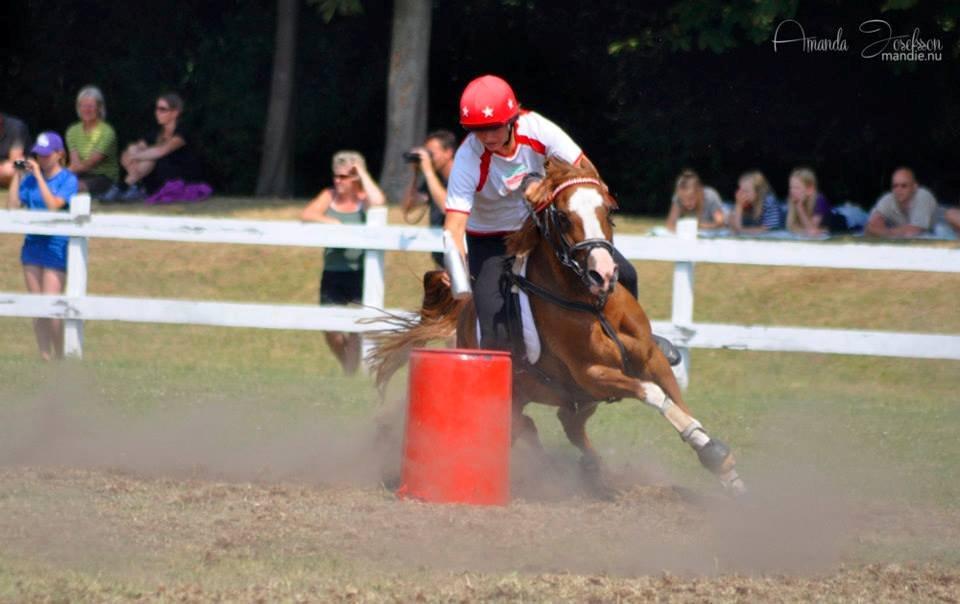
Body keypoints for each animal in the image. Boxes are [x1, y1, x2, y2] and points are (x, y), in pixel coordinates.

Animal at [372, 159, 748, 496]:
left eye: (608, 212)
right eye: (564, 217)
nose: (603, 273)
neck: (592, 304)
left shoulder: (650, 359)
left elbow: (674, 398)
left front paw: (721, 464)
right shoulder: (593, 373)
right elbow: (654, 394)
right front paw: (713, 451)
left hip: (577, 397)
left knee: (568, 426)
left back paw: (591, 470)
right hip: (529, 394)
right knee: (528, 427)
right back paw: (556, 470)